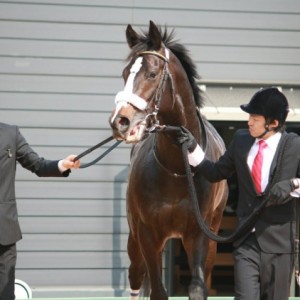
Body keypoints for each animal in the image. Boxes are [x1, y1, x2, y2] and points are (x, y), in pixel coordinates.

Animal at [109, 21, 229, 300]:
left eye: (152, 74)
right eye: (124, 74)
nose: (120, 122)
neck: (176, 167)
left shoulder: (198, 235)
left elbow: (197, 287)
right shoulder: (147, 234)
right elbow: (157, 290)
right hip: (136, 240)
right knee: (136, 275)